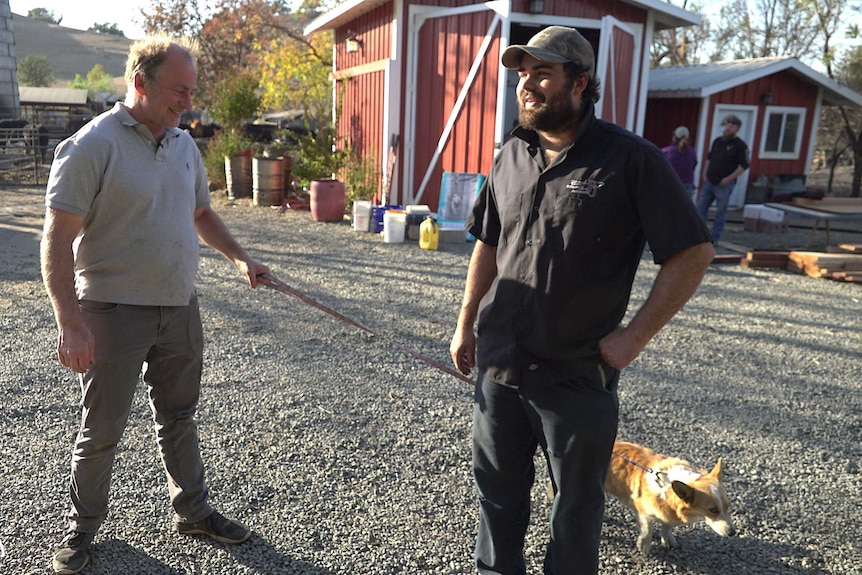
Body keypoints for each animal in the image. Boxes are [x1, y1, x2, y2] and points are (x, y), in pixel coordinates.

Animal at [604, 440, 740, 552]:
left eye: (727, 507)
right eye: (713, 510)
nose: (733, 533)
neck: (667, 485)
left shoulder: (669, 513)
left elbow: (667, 527)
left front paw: (667, 540)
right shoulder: (643, 512)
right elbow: (647, 529)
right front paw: (644, 546)